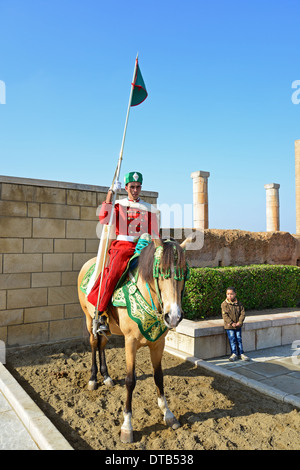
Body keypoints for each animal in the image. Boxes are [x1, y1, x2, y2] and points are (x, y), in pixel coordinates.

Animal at [77, 237, 190, 442]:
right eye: (160, 272)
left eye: (184, 273)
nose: (174, 317)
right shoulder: (130, 342)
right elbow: (130, 380)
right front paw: (127, 426)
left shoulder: (158, 344)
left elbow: (159, 377)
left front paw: (168, 414)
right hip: (89, 319)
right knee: (94, 343)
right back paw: (93, 379)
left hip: (108, 327)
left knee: (102, 344)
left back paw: (106, 376)